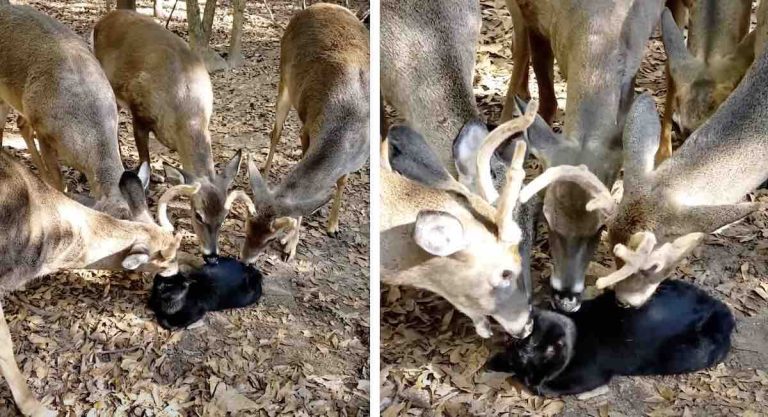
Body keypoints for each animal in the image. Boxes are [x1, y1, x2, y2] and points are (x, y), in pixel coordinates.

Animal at [92, 10, 242, 261]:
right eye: (198, 214)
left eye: (224, 217)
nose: (211, 255)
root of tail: (106, 17)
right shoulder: (140, 116)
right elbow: (145, 159)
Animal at [232, 4, 369, 263]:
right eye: (245, 227)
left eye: (270, 239)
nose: (244, 260)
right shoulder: (307, 131)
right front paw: (292, 244)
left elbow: (341, 181)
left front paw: (332, 225)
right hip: (284, 77)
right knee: (275, 132)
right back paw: (264, 173)